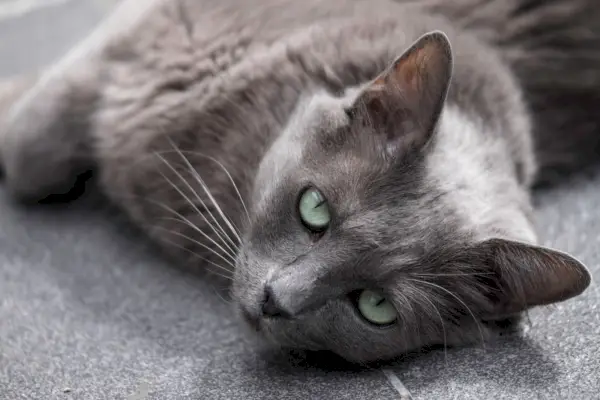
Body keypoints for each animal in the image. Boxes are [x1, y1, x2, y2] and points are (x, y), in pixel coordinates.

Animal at [0, 0, 596, 364]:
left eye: (375, 306)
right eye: (315, 209)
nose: (275, 301)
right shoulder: (165, 22)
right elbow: (32, 147)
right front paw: (16, 96)